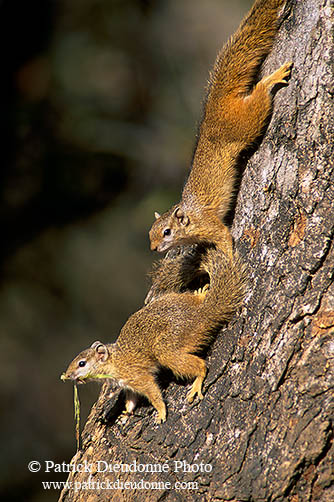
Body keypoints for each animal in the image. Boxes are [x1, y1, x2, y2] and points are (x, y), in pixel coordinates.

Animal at [62, 247, 245, 424]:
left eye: (82, 363)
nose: (67, 375)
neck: (115, 362)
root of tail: (201, 315)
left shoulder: (137, 376)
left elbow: (153, 392)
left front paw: (161, 412)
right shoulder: (129, 386)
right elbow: (131, 400)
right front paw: (126, 413)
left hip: (168, 348)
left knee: (200, 366)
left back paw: (197, 383)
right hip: (175, 300)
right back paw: (200, 293)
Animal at [150, 0, 290, 255]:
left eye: (167, 232)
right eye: (150, 233)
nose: (153, 248)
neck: (191, 219)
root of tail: (214, 108)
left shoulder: (209, 225)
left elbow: (224, 237)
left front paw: (229, 257)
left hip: (244, 123)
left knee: (260, 96)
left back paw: (271, 80)